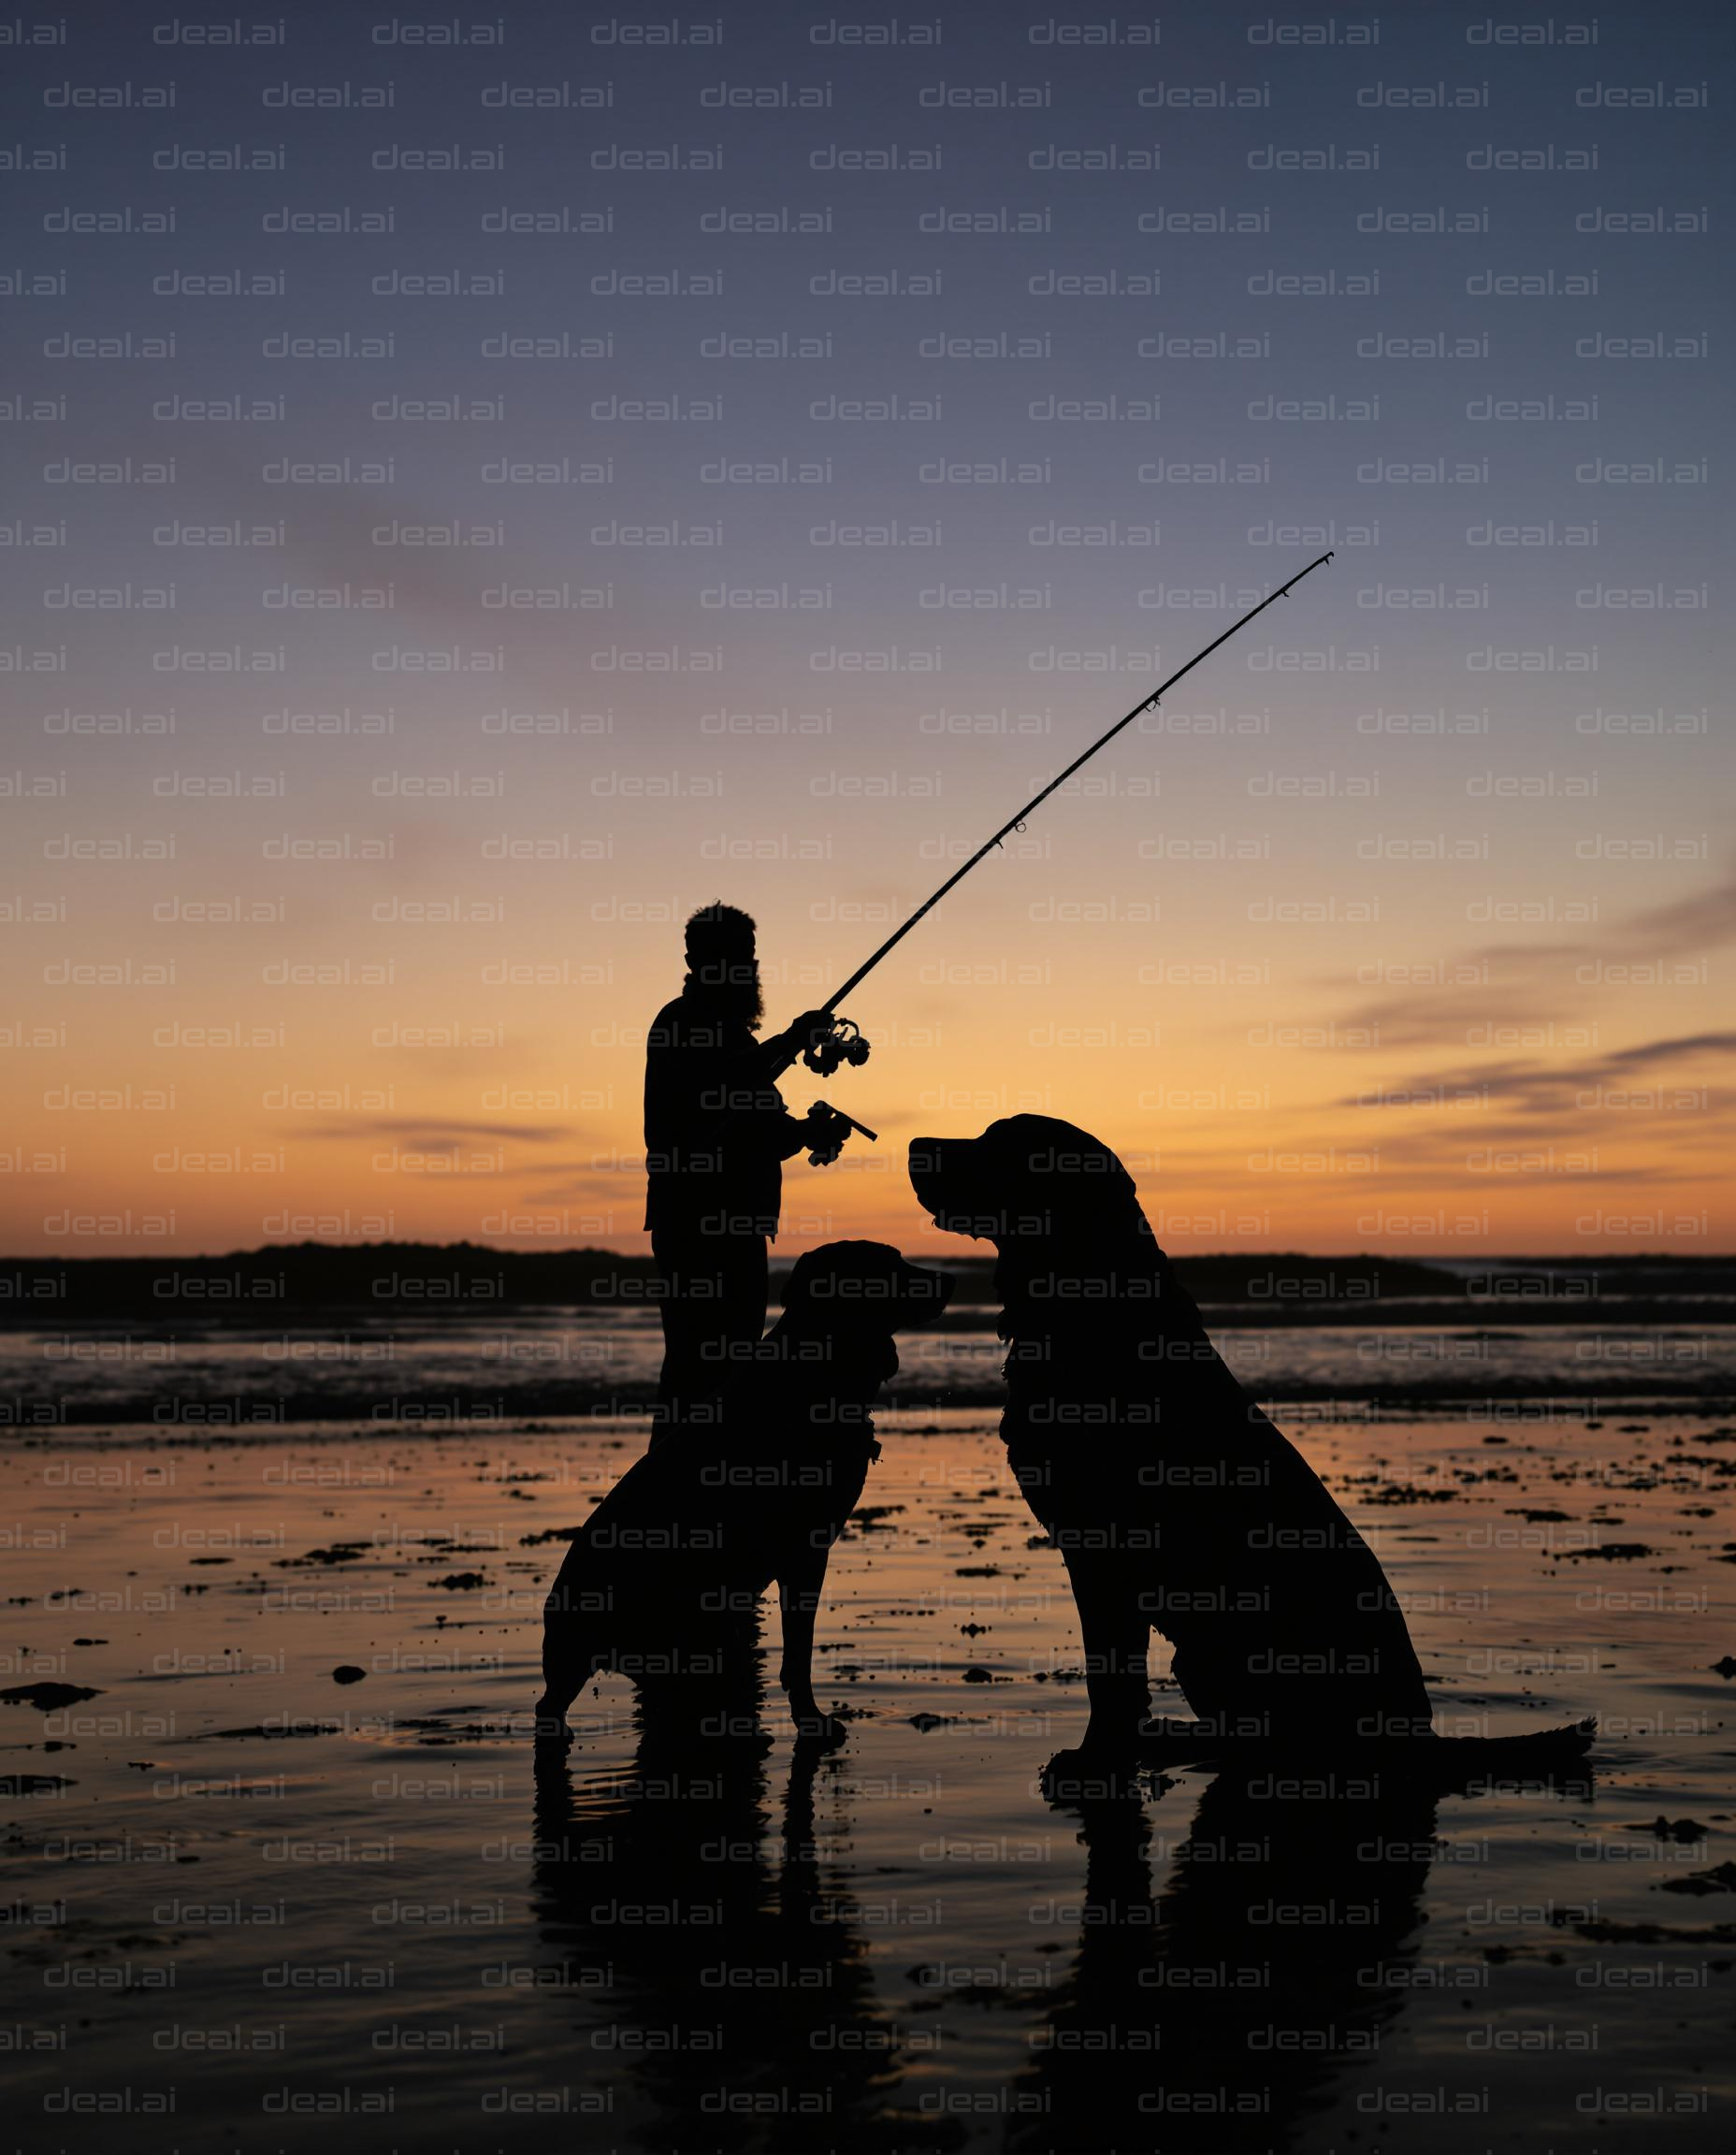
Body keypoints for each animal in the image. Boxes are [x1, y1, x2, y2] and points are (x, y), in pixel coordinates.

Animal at [908, 1121, 1439, 1758]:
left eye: (1000, 1143)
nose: (914, 1145)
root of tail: (1420, 1728)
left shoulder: (1104, 1549)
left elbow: (1110, 1672)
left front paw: (1097, 1755)